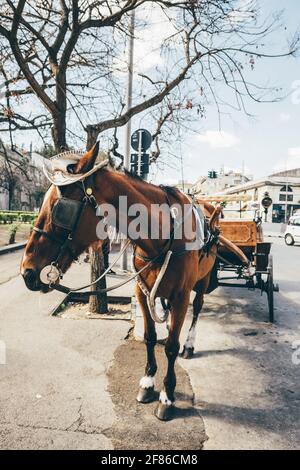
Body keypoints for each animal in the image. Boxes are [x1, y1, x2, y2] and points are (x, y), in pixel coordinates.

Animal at [21, 143, 218, 422]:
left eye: (60, 208)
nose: (26, 270)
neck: (162, 234)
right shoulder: (141, 291)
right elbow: (149, 336)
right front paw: (148, 382)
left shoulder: (181, 295)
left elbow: (170, 346)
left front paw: (167, 396)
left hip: (202, 281)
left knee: (198, 308)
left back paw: (189, 344)